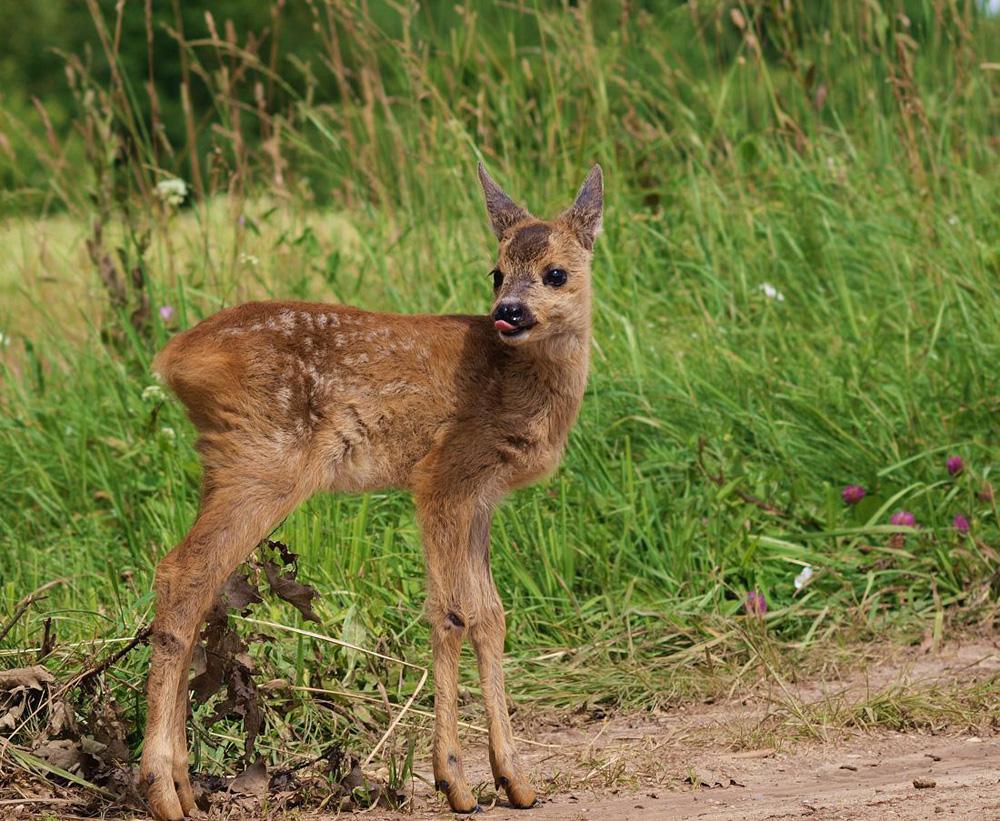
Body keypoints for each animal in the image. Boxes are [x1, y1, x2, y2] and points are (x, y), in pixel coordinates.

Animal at [139, 162, 603, 819]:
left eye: (555, 272)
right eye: (496, 271)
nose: (508, 309)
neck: (518, 383)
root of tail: (174, 358)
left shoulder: (482, 496)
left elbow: (491, 616)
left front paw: (516, 779)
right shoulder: (444, 476)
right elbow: (451, 614)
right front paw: (455, 781)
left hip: (228, 463)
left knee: (199, 585)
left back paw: (183, 784)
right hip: (264, 461)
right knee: (182, 572)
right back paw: (161, 789)